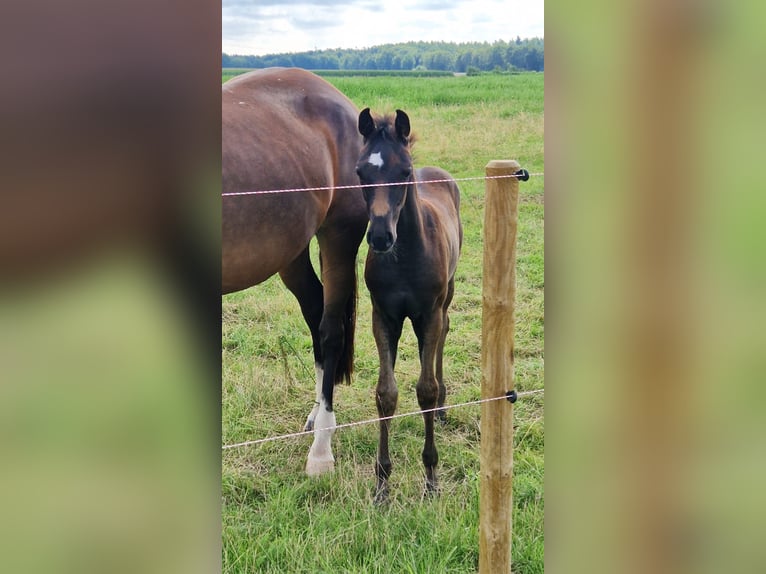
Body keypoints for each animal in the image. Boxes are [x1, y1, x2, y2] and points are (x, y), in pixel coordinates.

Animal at [356, 109, 464, 504]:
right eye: (360, 172)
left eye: (404, 171)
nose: (380, 237)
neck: (404, 258)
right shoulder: (383, 317)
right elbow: (386, 395)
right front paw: (382, 483)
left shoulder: (428, 313)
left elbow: (426, 391)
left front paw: (431, 477)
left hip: (446, 295)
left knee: (443, 334)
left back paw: (445, 405)